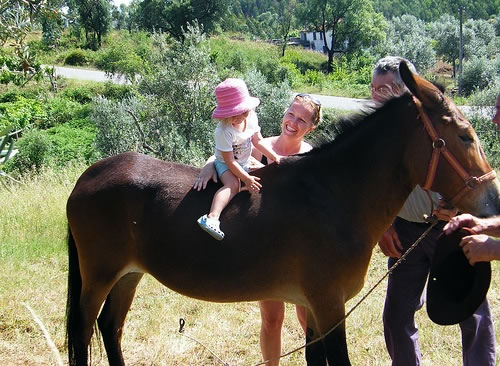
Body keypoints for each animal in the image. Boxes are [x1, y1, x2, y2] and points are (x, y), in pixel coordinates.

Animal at [66, 61, 500, 364]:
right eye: (465, 135)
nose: (493, 201)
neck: (334, 195)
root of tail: (90, 175)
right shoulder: (329, 304)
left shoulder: (315, 307)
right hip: (99, 276)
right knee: (84, 331)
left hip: (129, 274)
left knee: (110, 327)